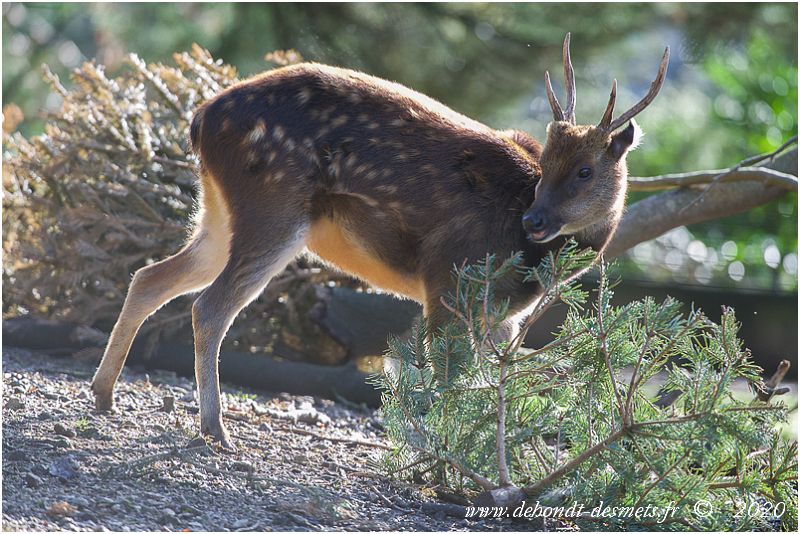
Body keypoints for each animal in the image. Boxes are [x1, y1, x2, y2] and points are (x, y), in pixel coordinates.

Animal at [92, 33, 668, 450]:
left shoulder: (501, 319)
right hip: (274, 208)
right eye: (545, 165)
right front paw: (442, 458)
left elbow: (486, 384)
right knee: (209, 307)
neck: (528, 264)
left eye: (585, 170)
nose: (535, 219)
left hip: (217, 214)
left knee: (151, 276)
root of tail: (200, 120)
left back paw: (104, 395)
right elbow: (444, 377)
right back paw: (214, 428)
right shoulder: (448, 280)